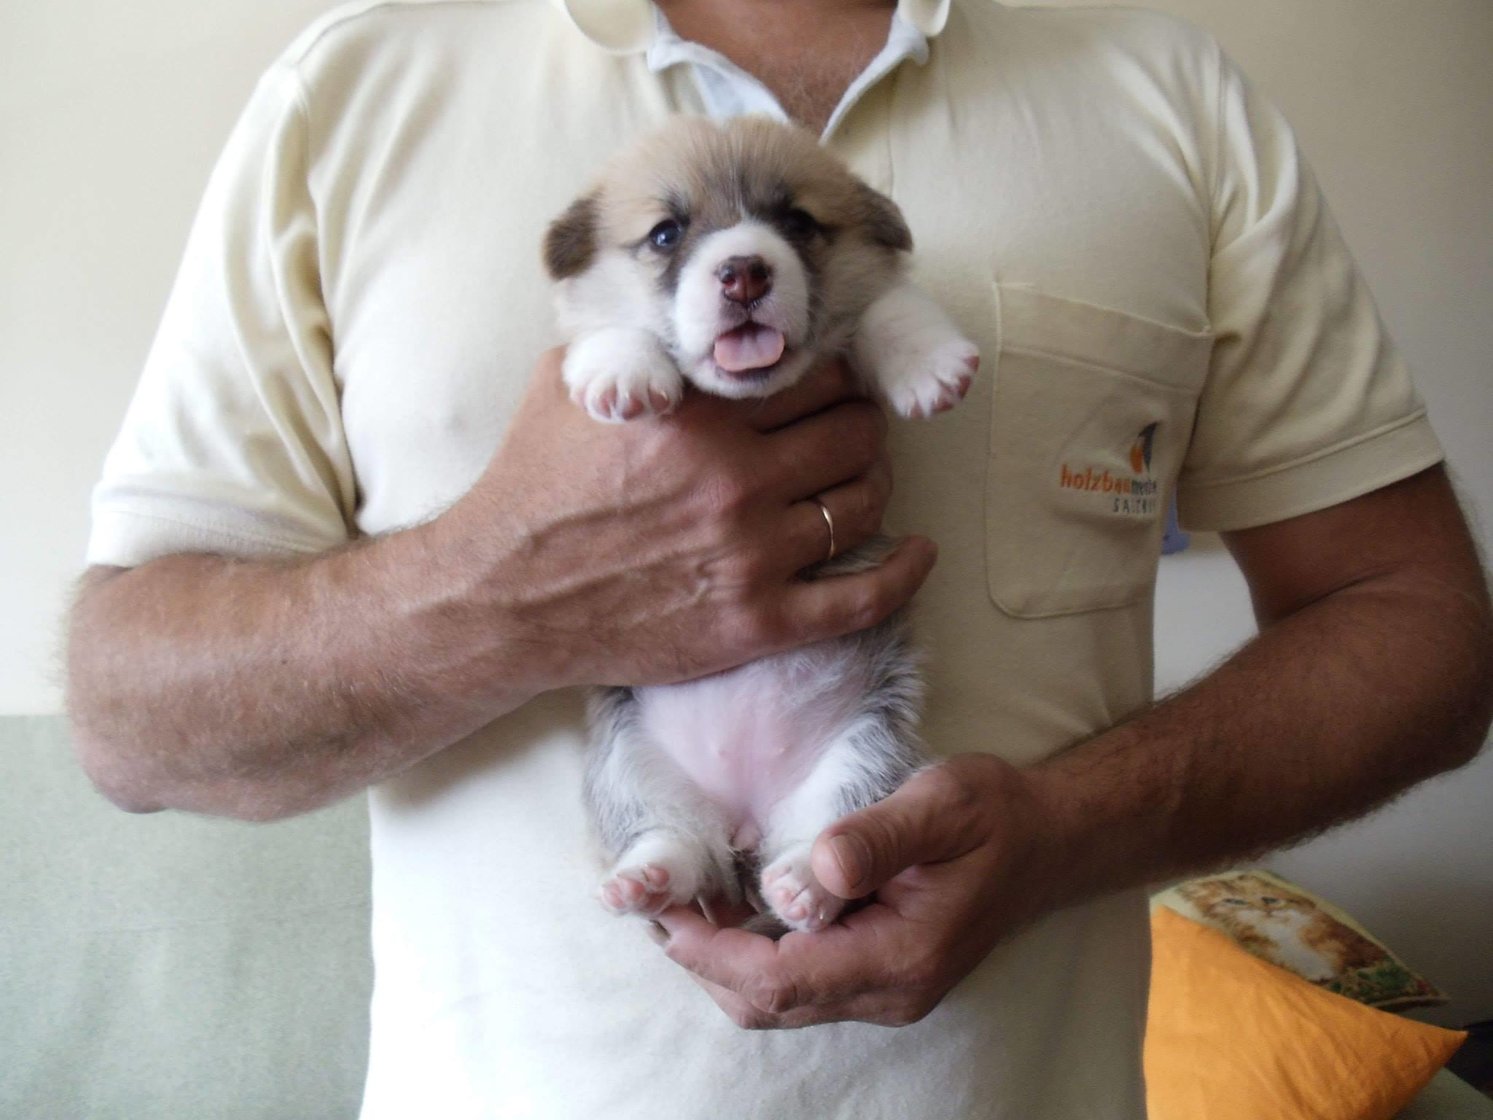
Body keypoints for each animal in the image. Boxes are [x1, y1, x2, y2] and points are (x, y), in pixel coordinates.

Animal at [543, 116, 978, 933]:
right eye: (665, 233)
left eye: (797, 223)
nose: (743, 271)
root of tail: (745, 817)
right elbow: (610, 327)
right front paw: (622, 370)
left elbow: (885, 307)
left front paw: (928, 363)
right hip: (627, 766)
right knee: (677, 840)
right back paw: (645, 877)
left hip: (867, 750)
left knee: (824, 835)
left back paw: (806, 882)